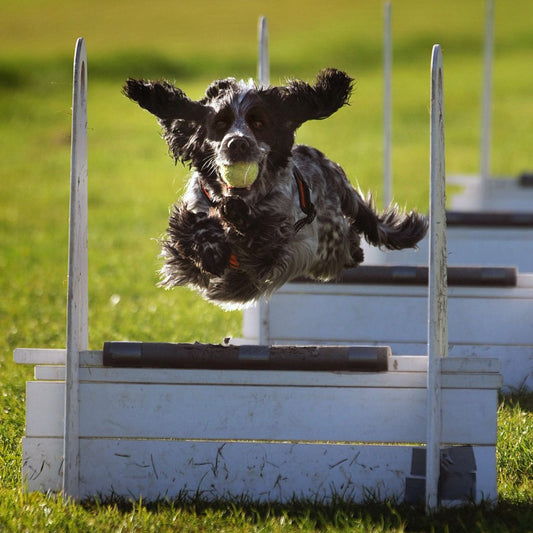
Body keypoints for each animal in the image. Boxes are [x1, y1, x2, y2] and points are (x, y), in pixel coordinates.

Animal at [122, 67, 426, 308]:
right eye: (219, 123)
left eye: (259, 123)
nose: (237, 143)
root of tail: (331, 169)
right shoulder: (190, 220)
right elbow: (191, 229)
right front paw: (211, 247)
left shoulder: (280, 241)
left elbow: (262, 235)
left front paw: (237, 220)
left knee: (349, 243)